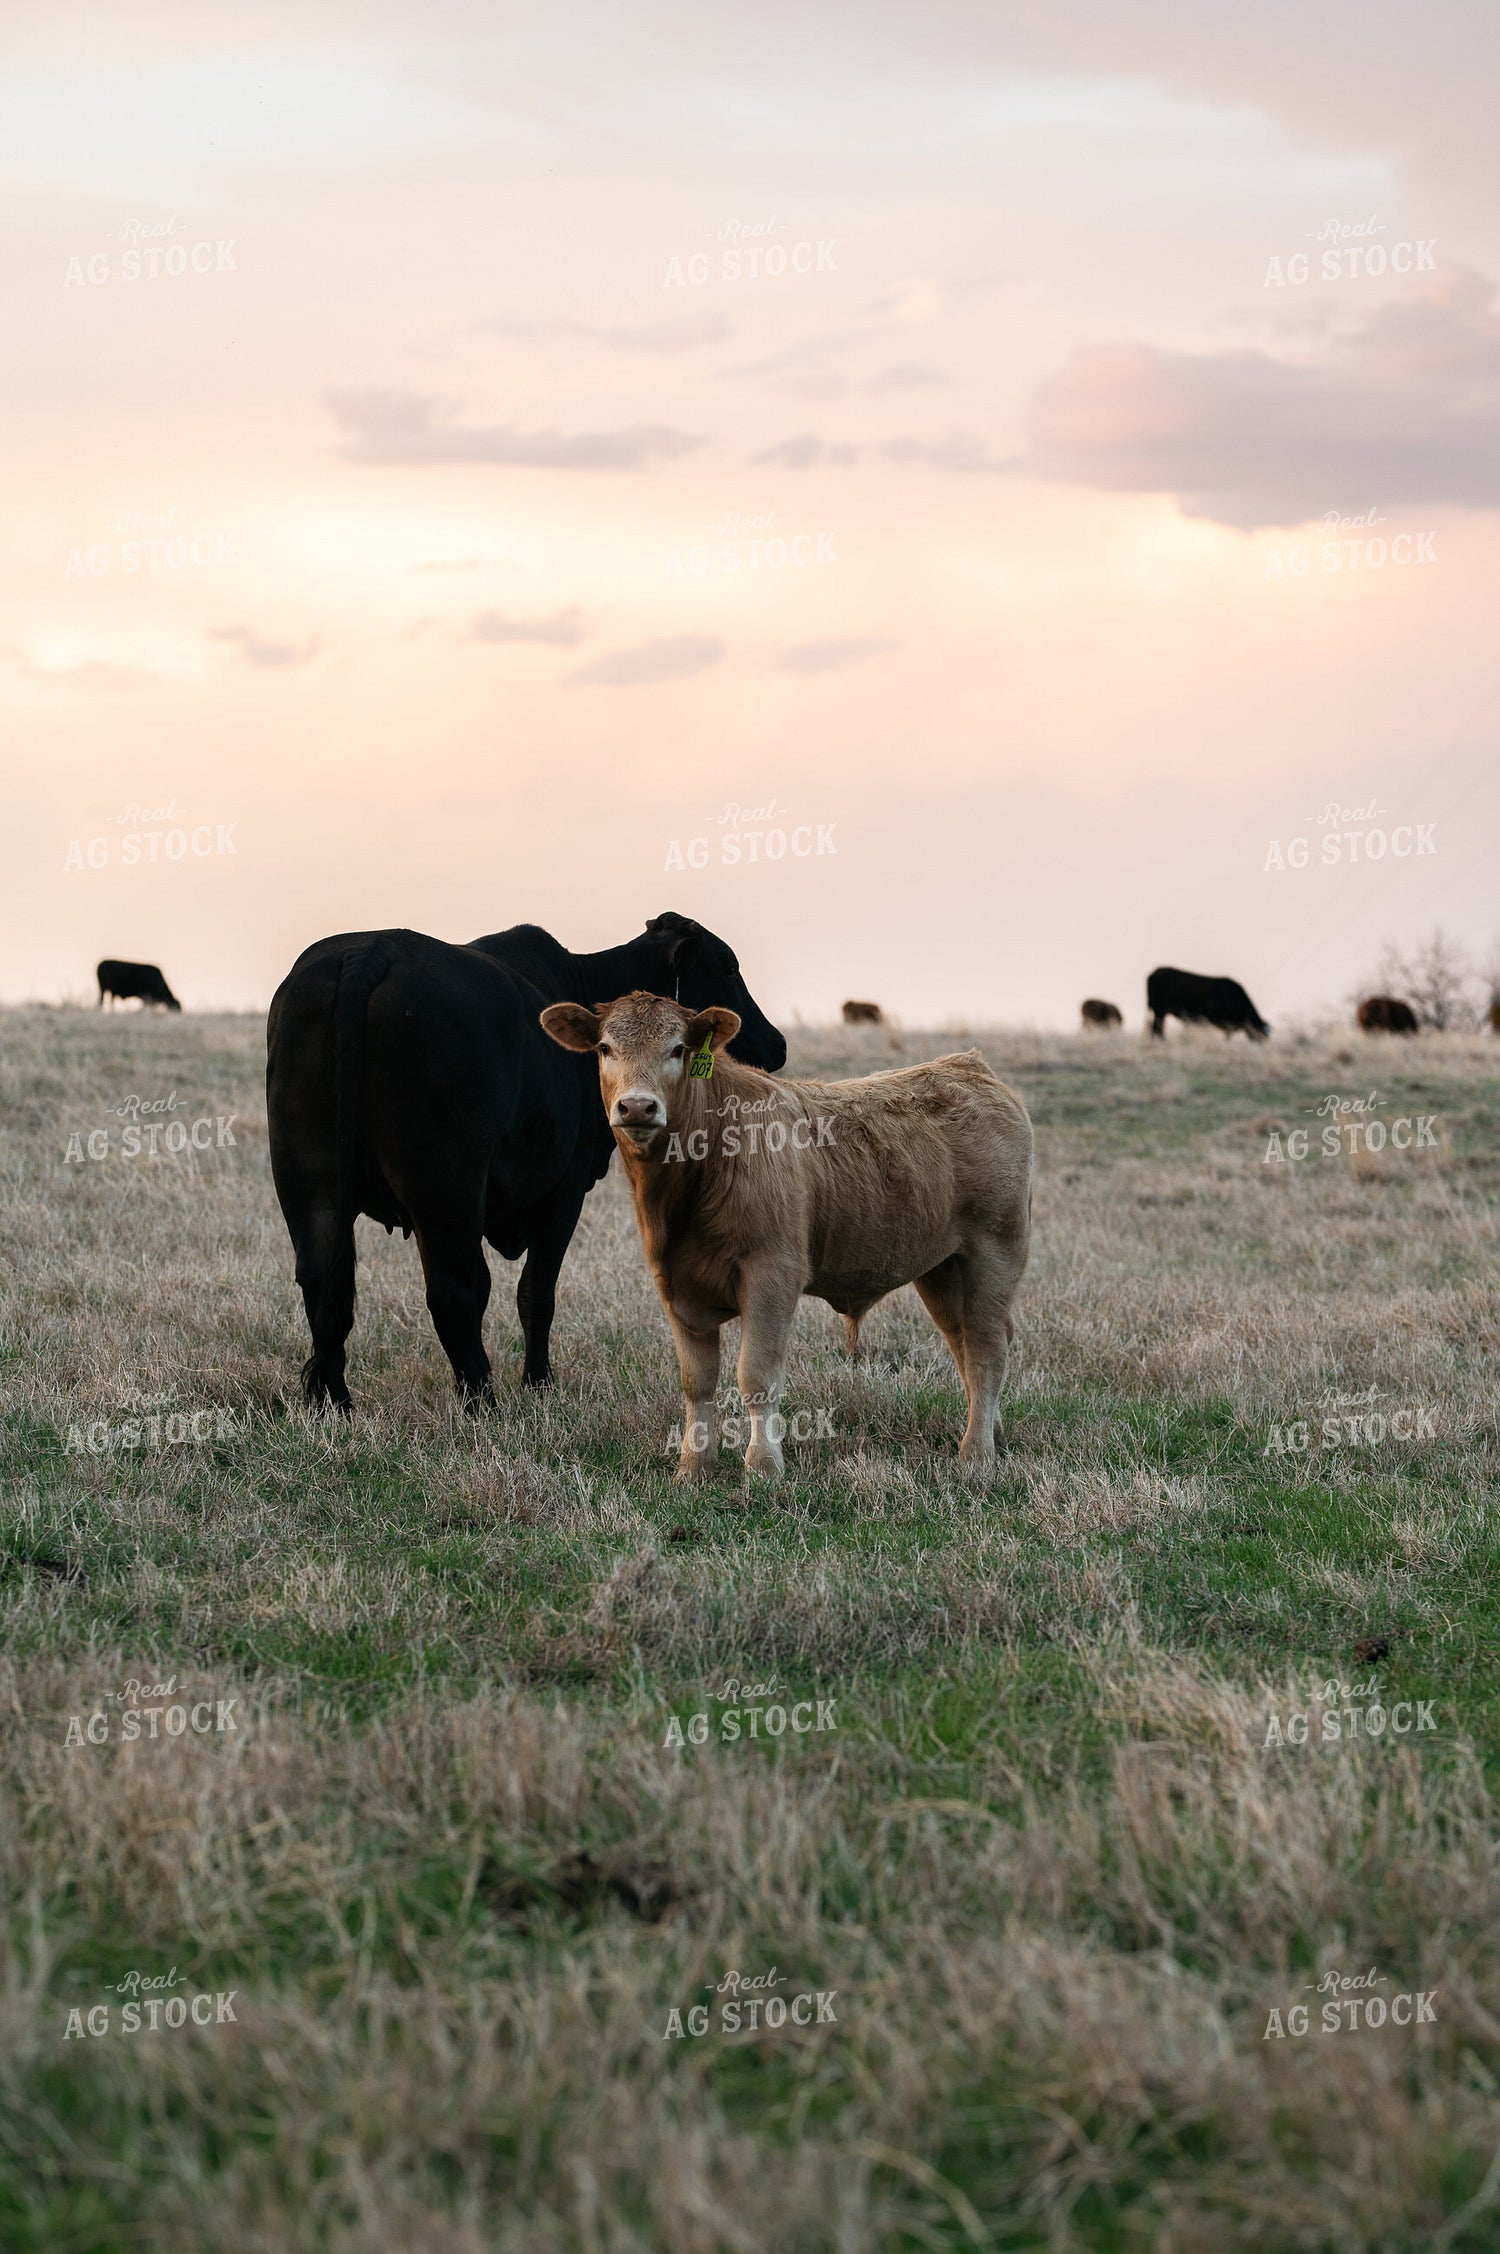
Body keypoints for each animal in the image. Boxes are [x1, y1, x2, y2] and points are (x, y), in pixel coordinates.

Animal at [266, 914, 785, 1414]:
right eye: (728, 969)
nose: (777, 1043)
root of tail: (370, 950)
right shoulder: (565, 1186)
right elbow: (535, 1293)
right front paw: (539, 1384)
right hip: (445, 1188)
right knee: (450, 1291)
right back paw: (482, 1401)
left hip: (308, 1181)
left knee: (324, 1281)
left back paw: (333, 1402)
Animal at [541, 992, 1033, 1480]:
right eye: (605, 1048)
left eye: (678, 1049)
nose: (638, 1107)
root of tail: (968, 1065)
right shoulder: (674, 1283)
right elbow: (697, 1381)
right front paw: (693, 1466)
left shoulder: (772, 1273)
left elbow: (756, 1375)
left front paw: (763, 1466)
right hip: (941, 1268)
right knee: (963, 1340)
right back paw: (993, 1435)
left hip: (995, 1252)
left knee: (987, 1348)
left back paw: (976, 1456)